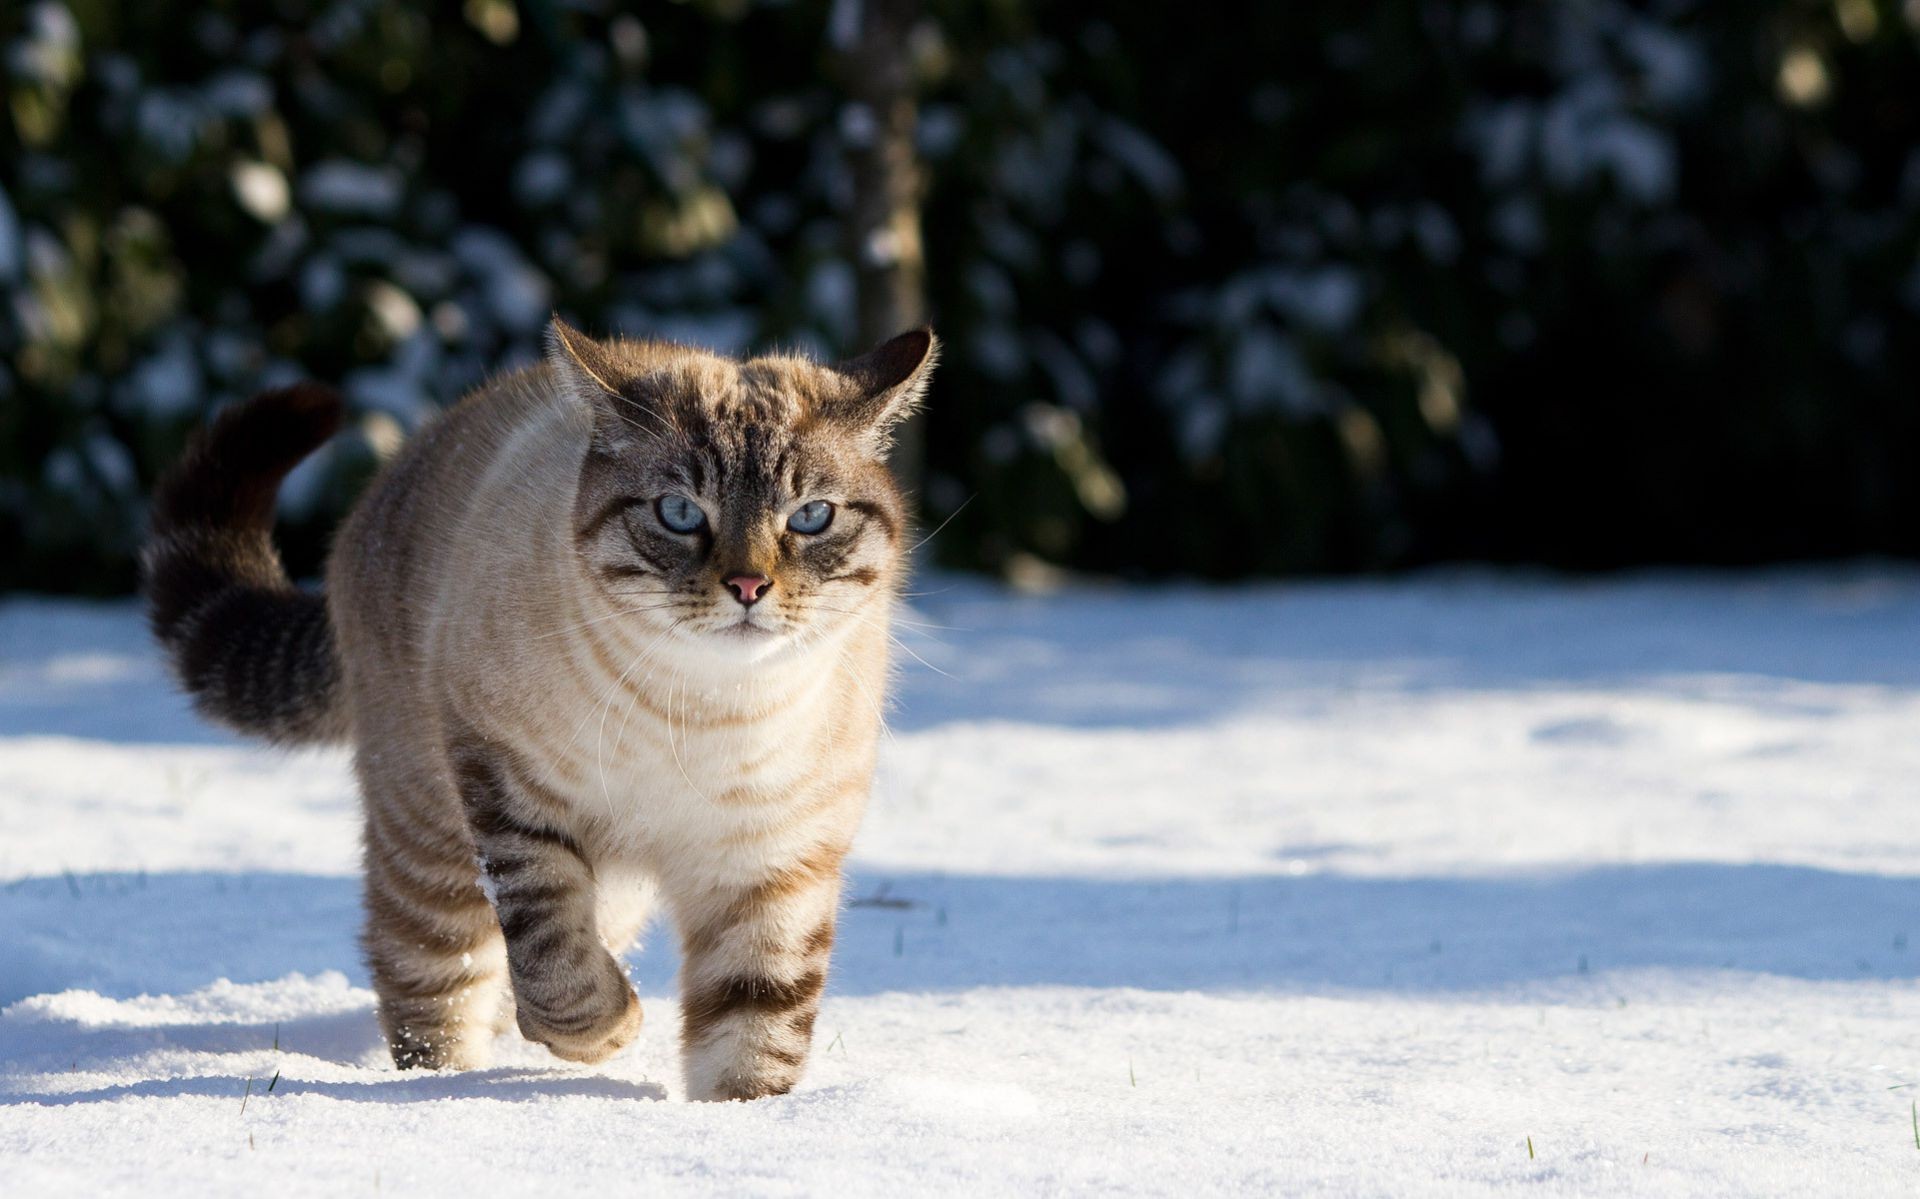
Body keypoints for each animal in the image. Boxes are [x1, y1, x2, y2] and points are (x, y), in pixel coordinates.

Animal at [142, 317, 936, 1099]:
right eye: (680, 513)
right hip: (433, 848)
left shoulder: (774, 864)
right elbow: (556, 960)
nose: (747, 585)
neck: (706, 714)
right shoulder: (513, 792)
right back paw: (438, 1090)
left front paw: (741, 1121)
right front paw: (609, 1030)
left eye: (811, 517)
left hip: (612, 890)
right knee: (425, 982)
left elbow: (755, 1030)